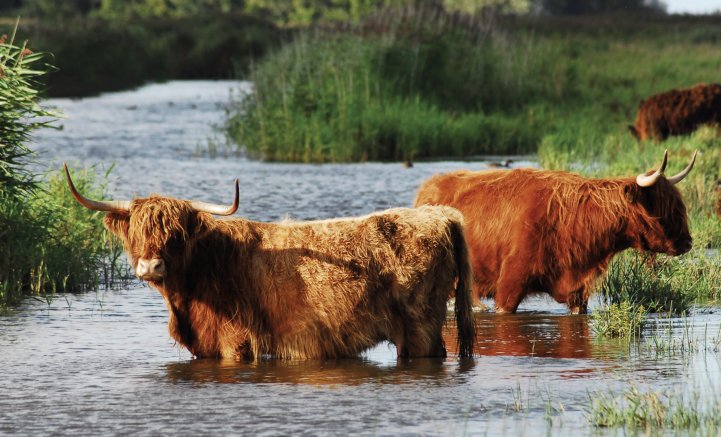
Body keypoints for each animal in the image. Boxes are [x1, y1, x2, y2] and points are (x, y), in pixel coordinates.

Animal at [64, 165, 476, 360]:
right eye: (136, 232)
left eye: (175, 234)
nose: (151, 267)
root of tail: (441, 215)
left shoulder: (236, 344)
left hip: (421, 327)